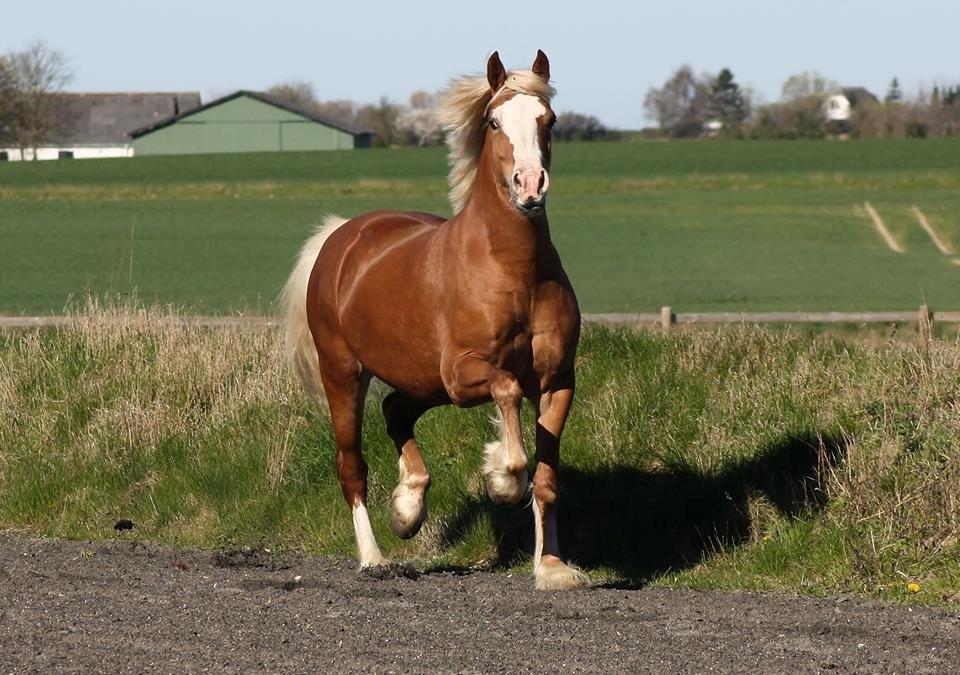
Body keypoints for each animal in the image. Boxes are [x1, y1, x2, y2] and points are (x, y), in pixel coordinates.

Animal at [282, 51, 588, 592]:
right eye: (493, 122)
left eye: (548, 120)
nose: (530, 187)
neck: (518, 273)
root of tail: (340, 237)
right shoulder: (465, 373)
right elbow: (508, 393)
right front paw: (502, 476)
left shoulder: (557, 382)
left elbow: (548, 479)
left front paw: (551, 568)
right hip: (345, 373)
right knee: (352, 465)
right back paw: (374, 556)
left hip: (422, 381)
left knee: (396, 411)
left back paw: (408, 508)